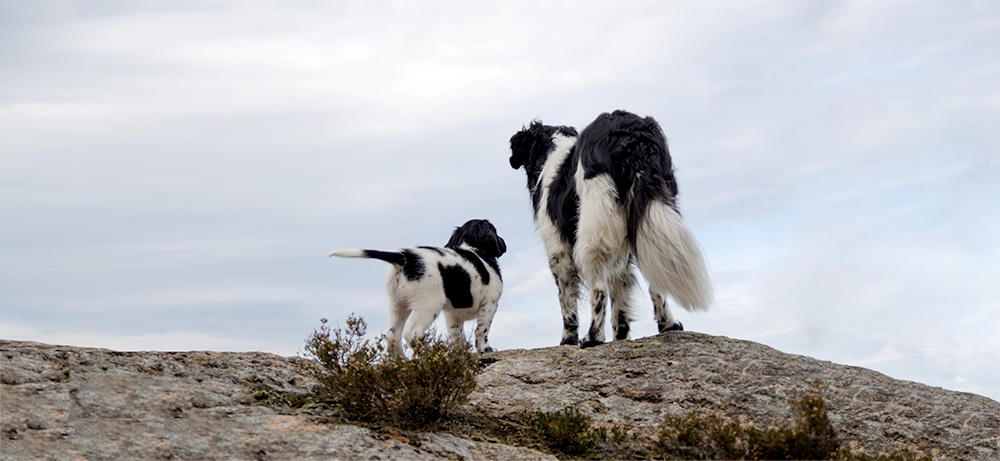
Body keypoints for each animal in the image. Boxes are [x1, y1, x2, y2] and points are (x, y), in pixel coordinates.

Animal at [330, 219, 508, 356]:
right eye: (496, 230)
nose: (504, 244)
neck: (474, 249)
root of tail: (404, 257)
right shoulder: (490, 302)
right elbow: (482, 329)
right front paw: (486, 350)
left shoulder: (453, 315)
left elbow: (457, 337)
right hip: (430, 304)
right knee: (412, 333)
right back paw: (429, 355)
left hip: (398, 304)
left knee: (392, 336)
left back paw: (401, 362)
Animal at [512, 111, 716, 346]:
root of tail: (631, 133)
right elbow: (621, 299)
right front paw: (621, 338)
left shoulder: (558, 251)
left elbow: (567, 301)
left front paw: (568, 340)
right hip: (655, 214)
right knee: (657, 273)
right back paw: (668, 325)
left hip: (595, 225)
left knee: (599, 286)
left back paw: (593, 337)